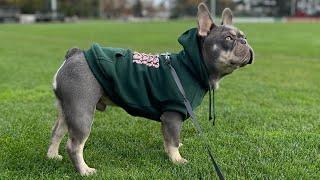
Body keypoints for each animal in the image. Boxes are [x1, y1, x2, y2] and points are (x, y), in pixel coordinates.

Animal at [46, 2, 254, 176]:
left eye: (244, 37)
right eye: (228, 38)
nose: (245, 42)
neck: (192, 66)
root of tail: (75, 54)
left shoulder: (170, 120)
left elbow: (170, 139)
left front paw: (173, 153)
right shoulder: (173, 114)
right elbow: (172, 141)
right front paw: (177, 160)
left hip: (67, 109)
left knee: (57, 131)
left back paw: (52, 156)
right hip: (82, 111)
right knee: (74, 145)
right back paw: (84, 171)